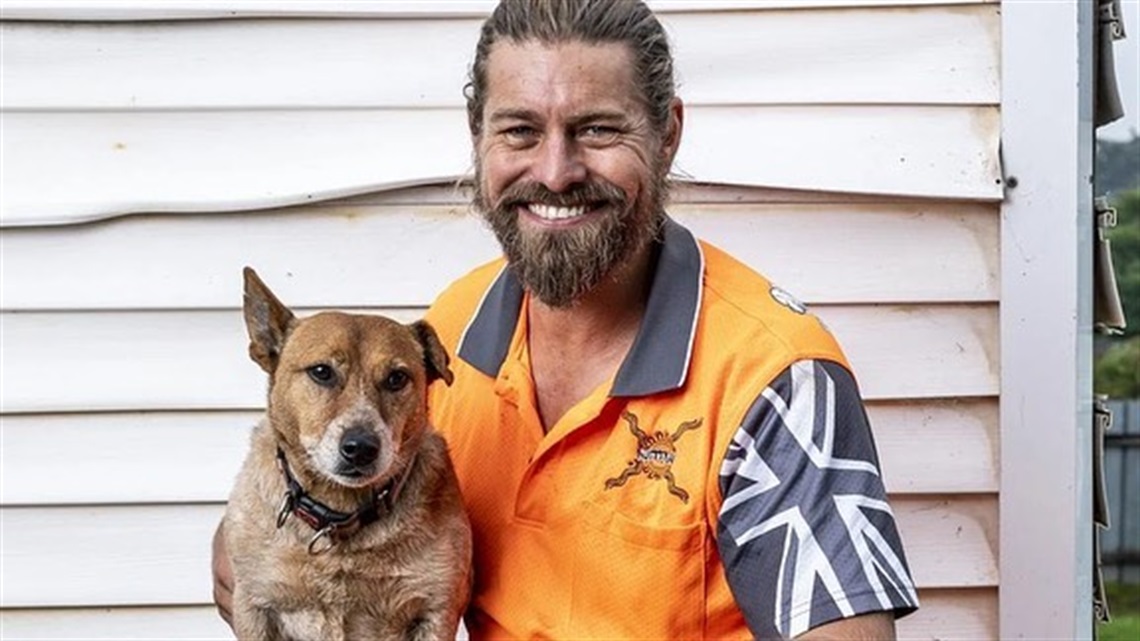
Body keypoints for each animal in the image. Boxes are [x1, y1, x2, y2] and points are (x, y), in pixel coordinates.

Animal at [224, 266, 474, 638]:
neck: (338, 514)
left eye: (397, 378)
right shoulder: (253, 604)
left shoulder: (435, 609)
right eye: (321, 372)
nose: (361, 448)